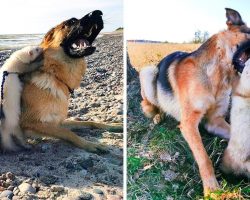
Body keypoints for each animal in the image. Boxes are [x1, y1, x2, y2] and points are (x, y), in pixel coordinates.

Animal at [16, 10, 122, 153]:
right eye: (71, 21)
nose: (98, 13)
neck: (55, 75)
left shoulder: (57, 121)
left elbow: (88, 122)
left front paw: (113, 125)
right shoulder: (32, 123)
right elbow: (69, 133)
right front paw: (91, 144)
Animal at [140, 8, 250, 196]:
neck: (216, 75)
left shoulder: (214, 121)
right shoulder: (189, 123)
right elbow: (203, 157)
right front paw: (212, 189)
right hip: (148, 73)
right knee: (149, 105)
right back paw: (157, 116)